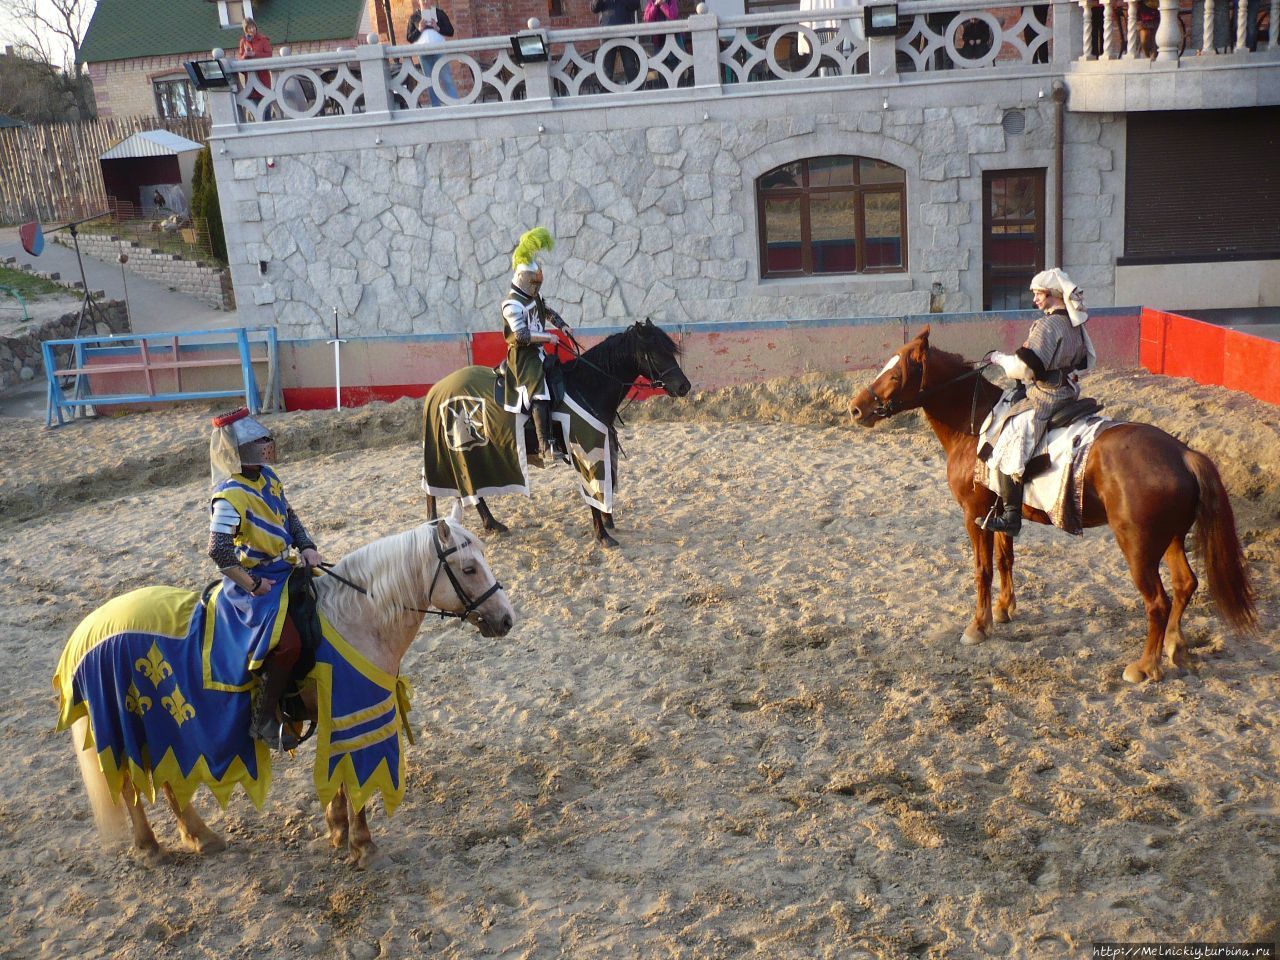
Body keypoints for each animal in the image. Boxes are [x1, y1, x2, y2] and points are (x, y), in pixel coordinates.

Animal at [58, 512, 509, 870]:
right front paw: (362, 845)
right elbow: (353, 779)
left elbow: (337, 779)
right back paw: (150, 846)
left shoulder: (334, 715)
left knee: (167, 782)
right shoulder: (354, 715)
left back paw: (201, 837)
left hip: (159, 724)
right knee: (131, 786)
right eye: (469, 569)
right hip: (130, 722)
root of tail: (88, 629)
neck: (358, 616)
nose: (506, 619)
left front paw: (337, 829)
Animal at [424, 321, 691, 547]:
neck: (587, 385)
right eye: (655, 353)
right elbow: (592, 491)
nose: (684, 386)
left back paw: (491, 524)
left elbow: (606, 483)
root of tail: (437, 389)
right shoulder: (584, 450)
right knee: (439, 490)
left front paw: (608, 520)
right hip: (458, 449)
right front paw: (603, 535)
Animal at [844, 330, 1254, 686]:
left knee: (1158, 601)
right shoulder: (1000, 515)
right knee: (1186, 584)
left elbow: (982, 570)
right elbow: (1005, 560)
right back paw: (1174, 646)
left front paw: (978, 626)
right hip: (1170, 539)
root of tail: (1183, 453)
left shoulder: (974, 516)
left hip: (1138, 547)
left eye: (894, 374)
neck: (976, 426)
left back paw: (1144, 665)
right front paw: (1004, 610)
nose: (855, 409)